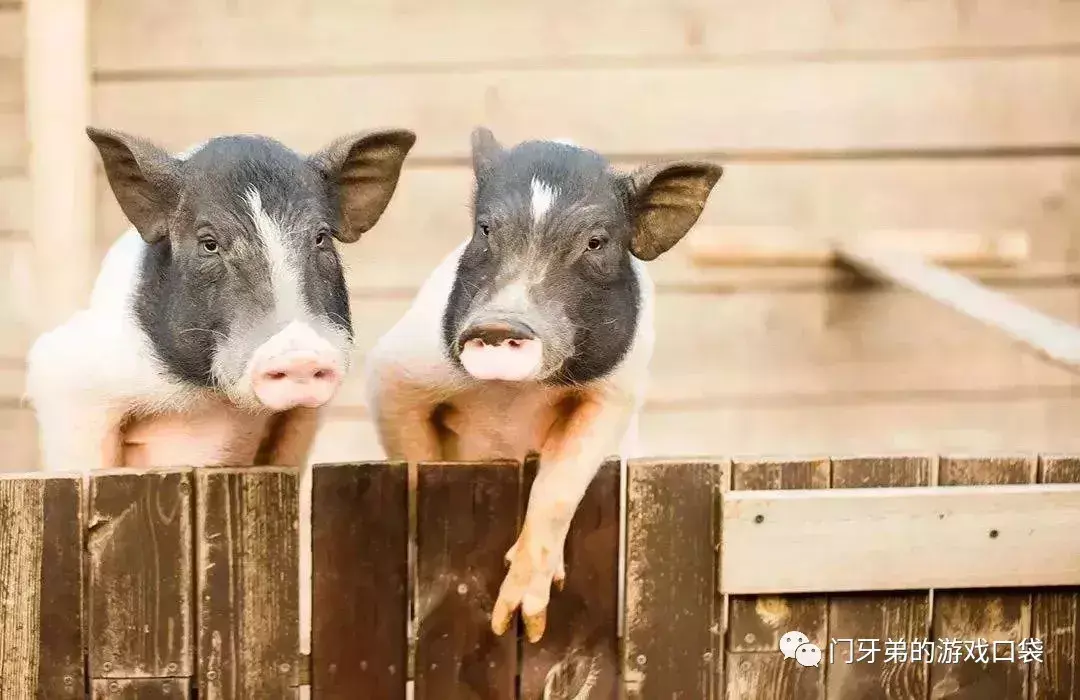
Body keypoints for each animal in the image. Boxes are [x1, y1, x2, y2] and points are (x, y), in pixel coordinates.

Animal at [26, 128, 412, 473]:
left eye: (320, 238)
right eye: (209, 244)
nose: (298, 352)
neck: (213, 402)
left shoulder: (304, 418)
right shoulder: (67, 376)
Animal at [365, 128, 725, 643]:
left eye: (595, 242)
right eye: (485, 230)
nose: (498, 325)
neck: (513, 395)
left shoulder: (618, 388)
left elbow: (560, 483)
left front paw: (526, 625)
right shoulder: (395, 369)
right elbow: (417, 456)